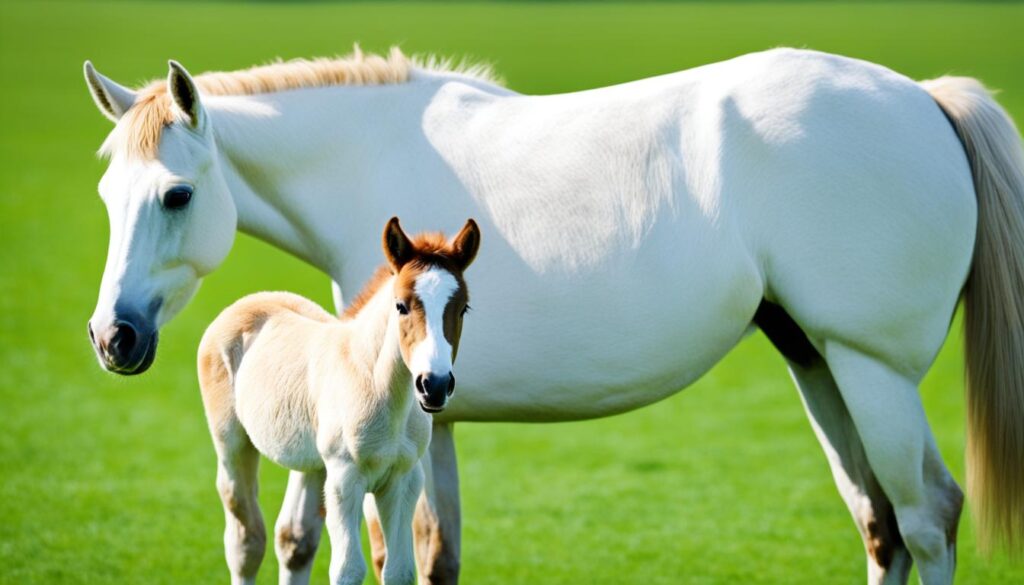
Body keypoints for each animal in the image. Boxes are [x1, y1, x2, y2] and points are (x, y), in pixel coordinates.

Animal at [197, 217, 480, 585]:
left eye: (463, 308)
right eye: (401, 306)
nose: (434, 385)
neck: (383, 395)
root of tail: (251, 301)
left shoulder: (403, 480)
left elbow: (399, 569)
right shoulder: (345, 480)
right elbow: (348, 569)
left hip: (312, 464)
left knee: (292, 540)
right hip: (233, 445)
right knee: (244, 542)